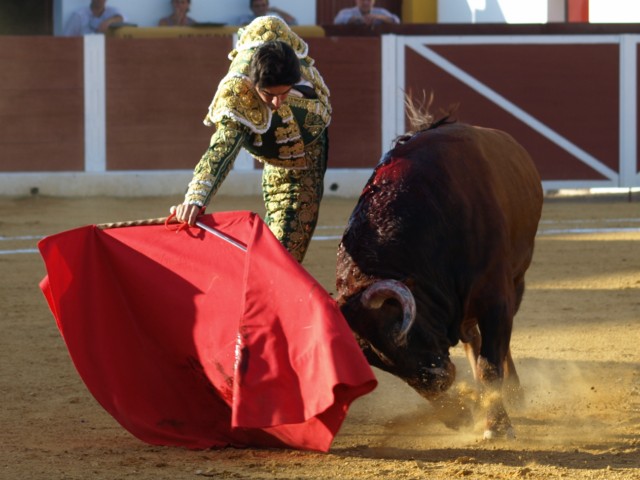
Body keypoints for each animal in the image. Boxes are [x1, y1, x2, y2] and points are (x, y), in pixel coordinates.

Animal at [338, 109, 544, 438]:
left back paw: (513, 394)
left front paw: (497, 426)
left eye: (397, 330)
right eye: (377, 361)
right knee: (473, 339)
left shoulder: (496, 297)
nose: (438, 382)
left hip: (517, 279)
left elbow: (491, 363)